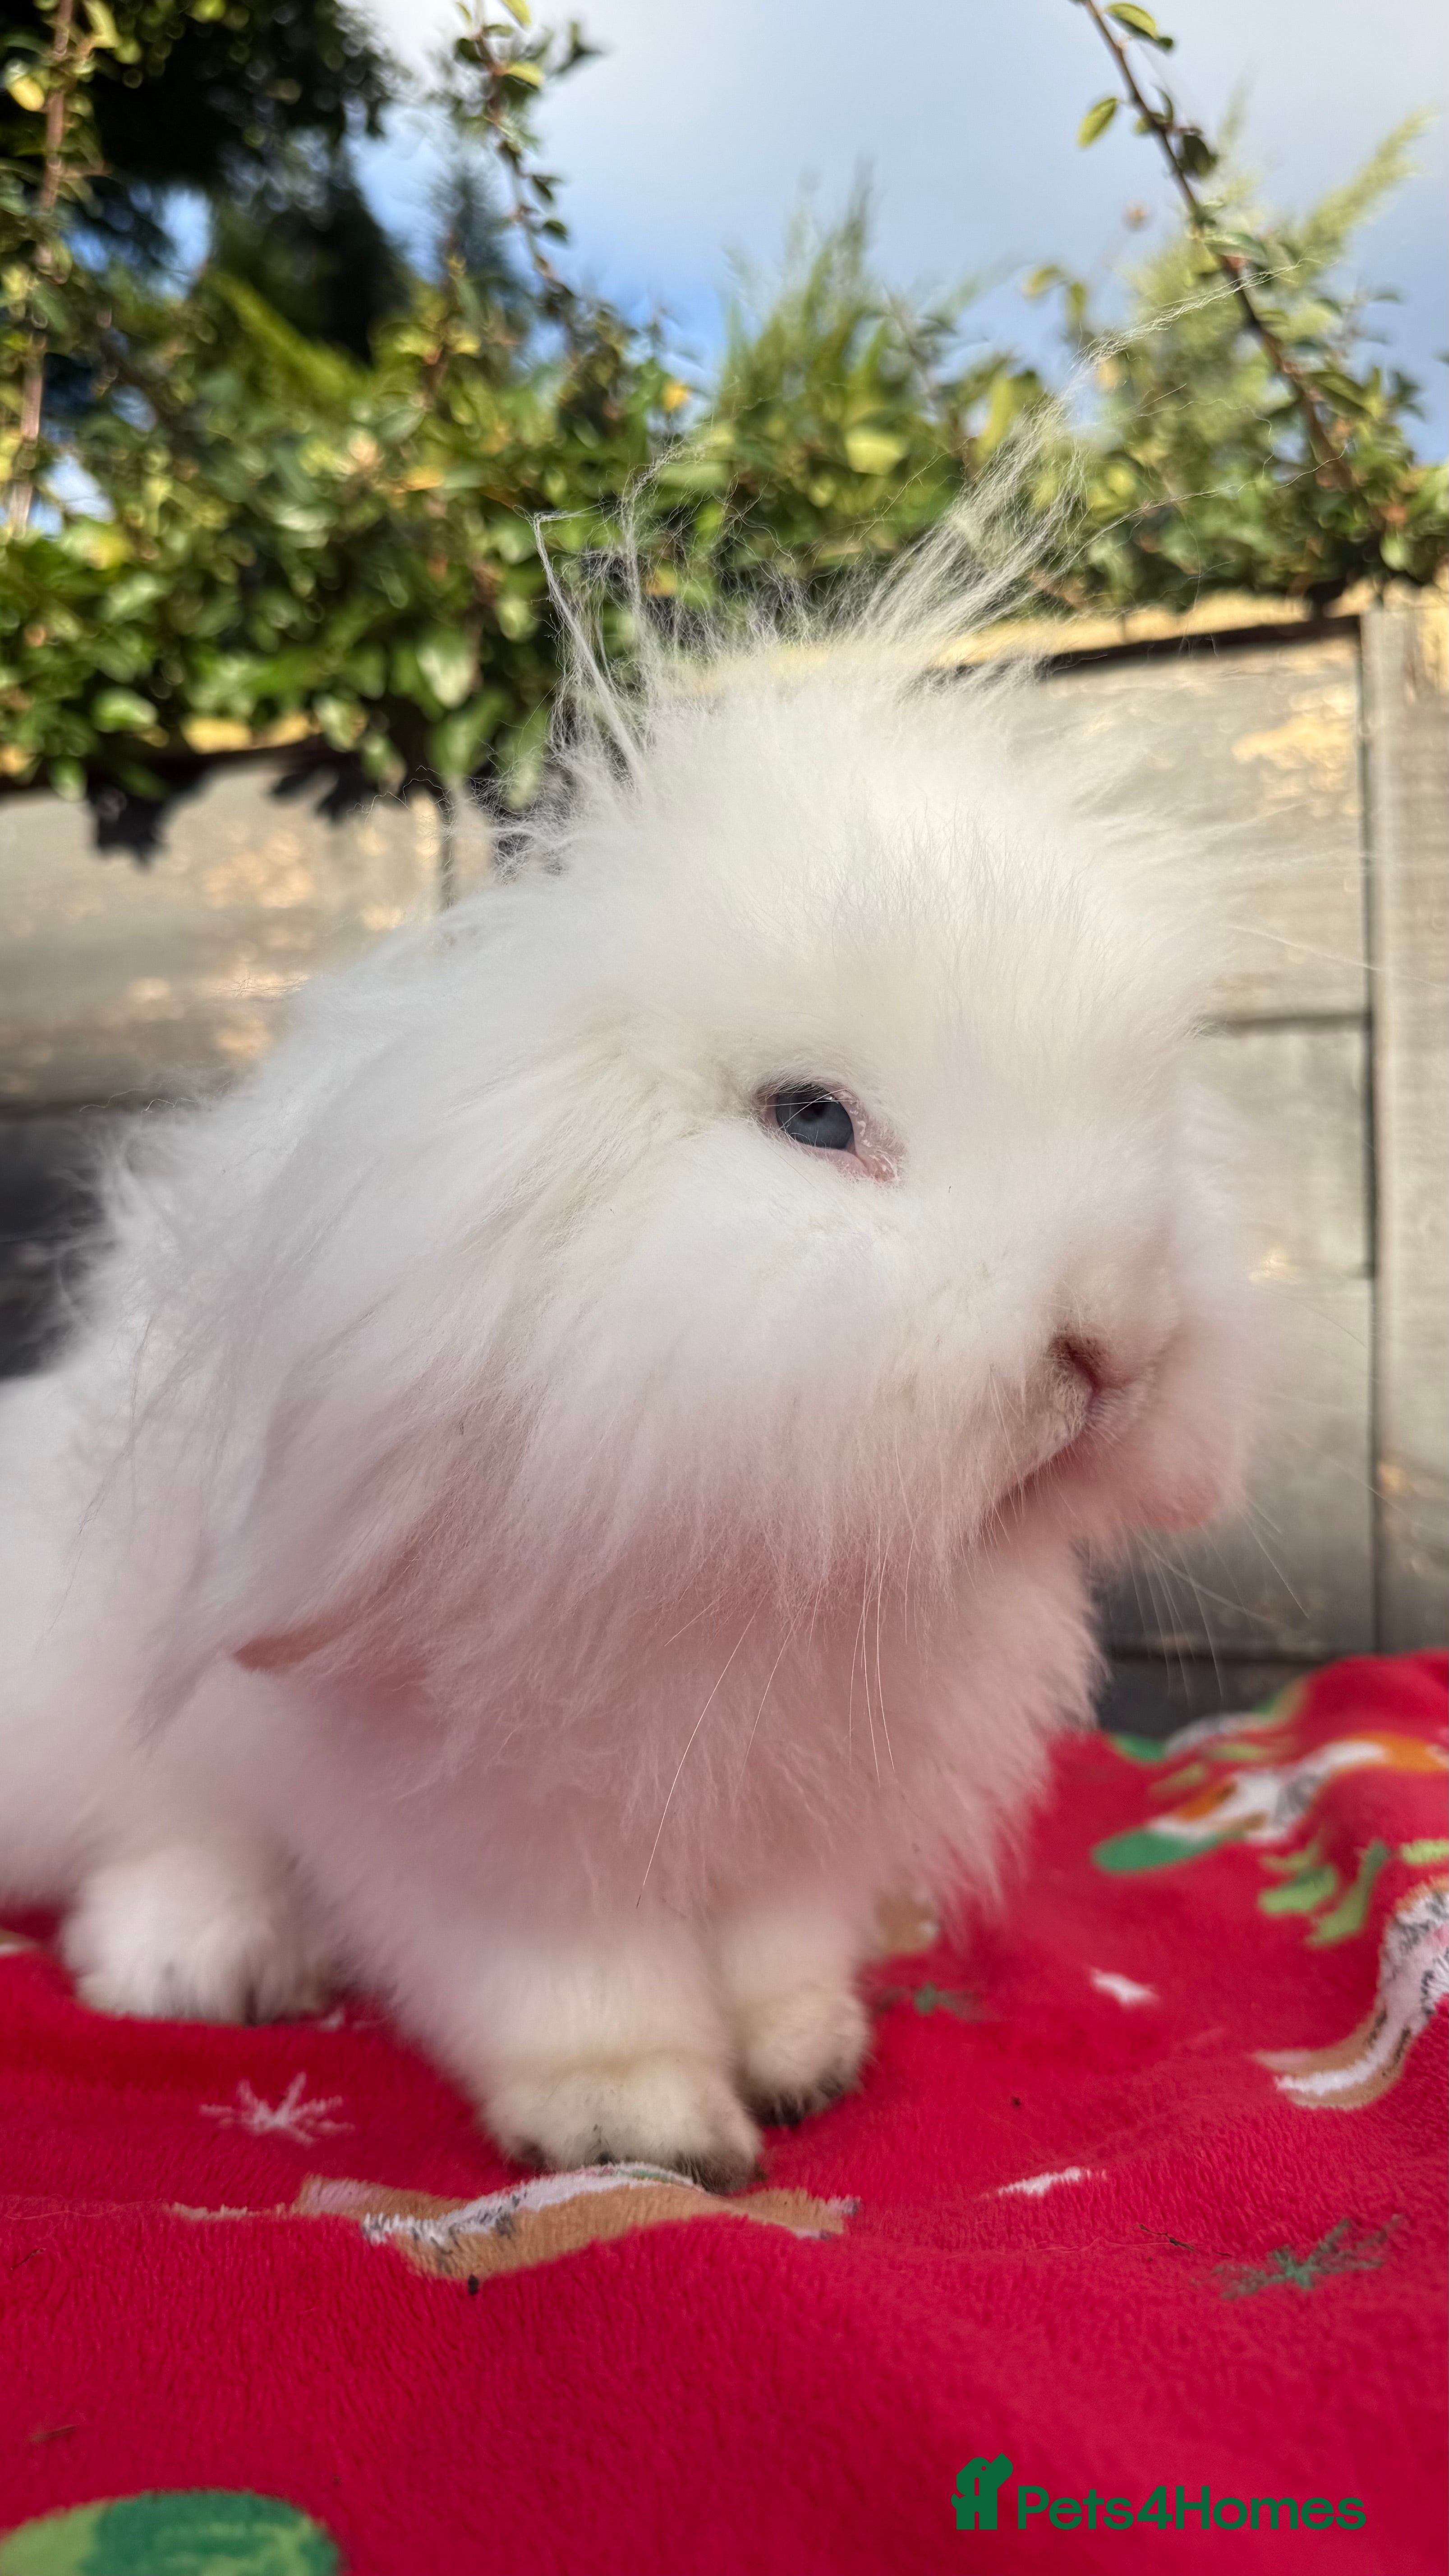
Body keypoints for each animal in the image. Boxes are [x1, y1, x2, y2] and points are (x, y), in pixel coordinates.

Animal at [0, 556, 1254, 2189]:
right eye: (811, 1117)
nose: (1115, 1341)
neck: (750, 1571)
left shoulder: (801, 1805)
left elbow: (777, 1945)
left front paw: (803, 2057)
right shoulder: (491, 1821)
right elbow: (573, 1985)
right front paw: (644, 2127)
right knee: (151, 1830)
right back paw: (196, 1964)